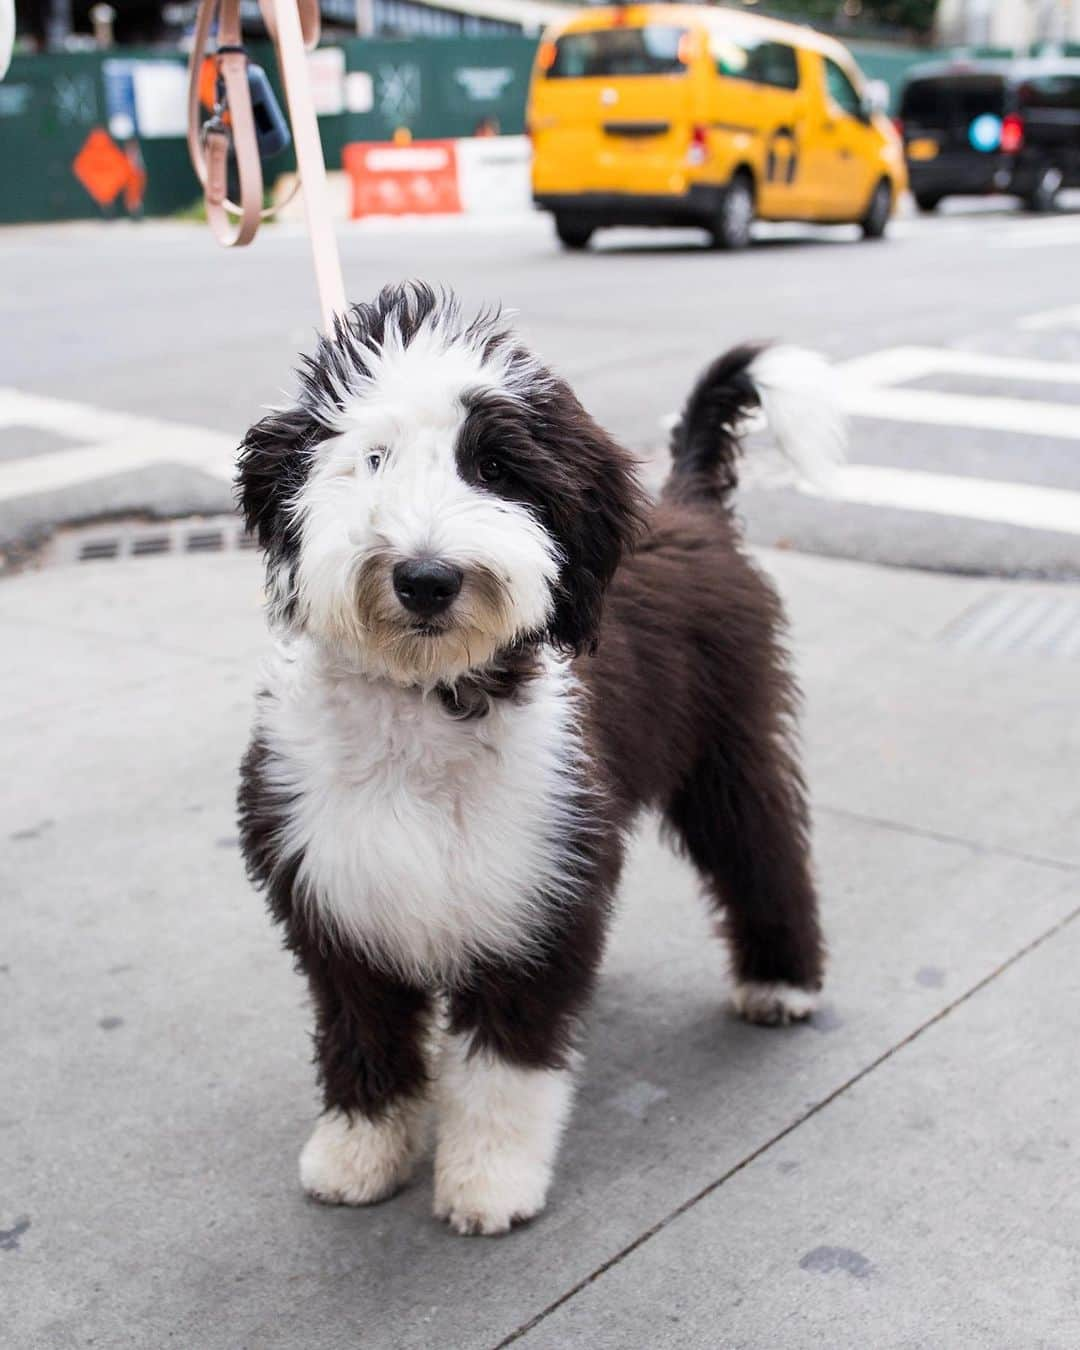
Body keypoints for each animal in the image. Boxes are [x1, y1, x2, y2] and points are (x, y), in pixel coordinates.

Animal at [236, 282, 842, 1236]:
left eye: (493, 469)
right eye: (372, 458)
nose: (426, 578)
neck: (427, 703)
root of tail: (687, 502)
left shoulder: (533, 891)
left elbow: (505, 1065)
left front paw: (488, 1179)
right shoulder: (336, 895)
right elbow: (362, 1036)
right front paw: (358, 1153)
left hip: (727, 746)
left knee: (763, 848)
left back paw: (781, 980)